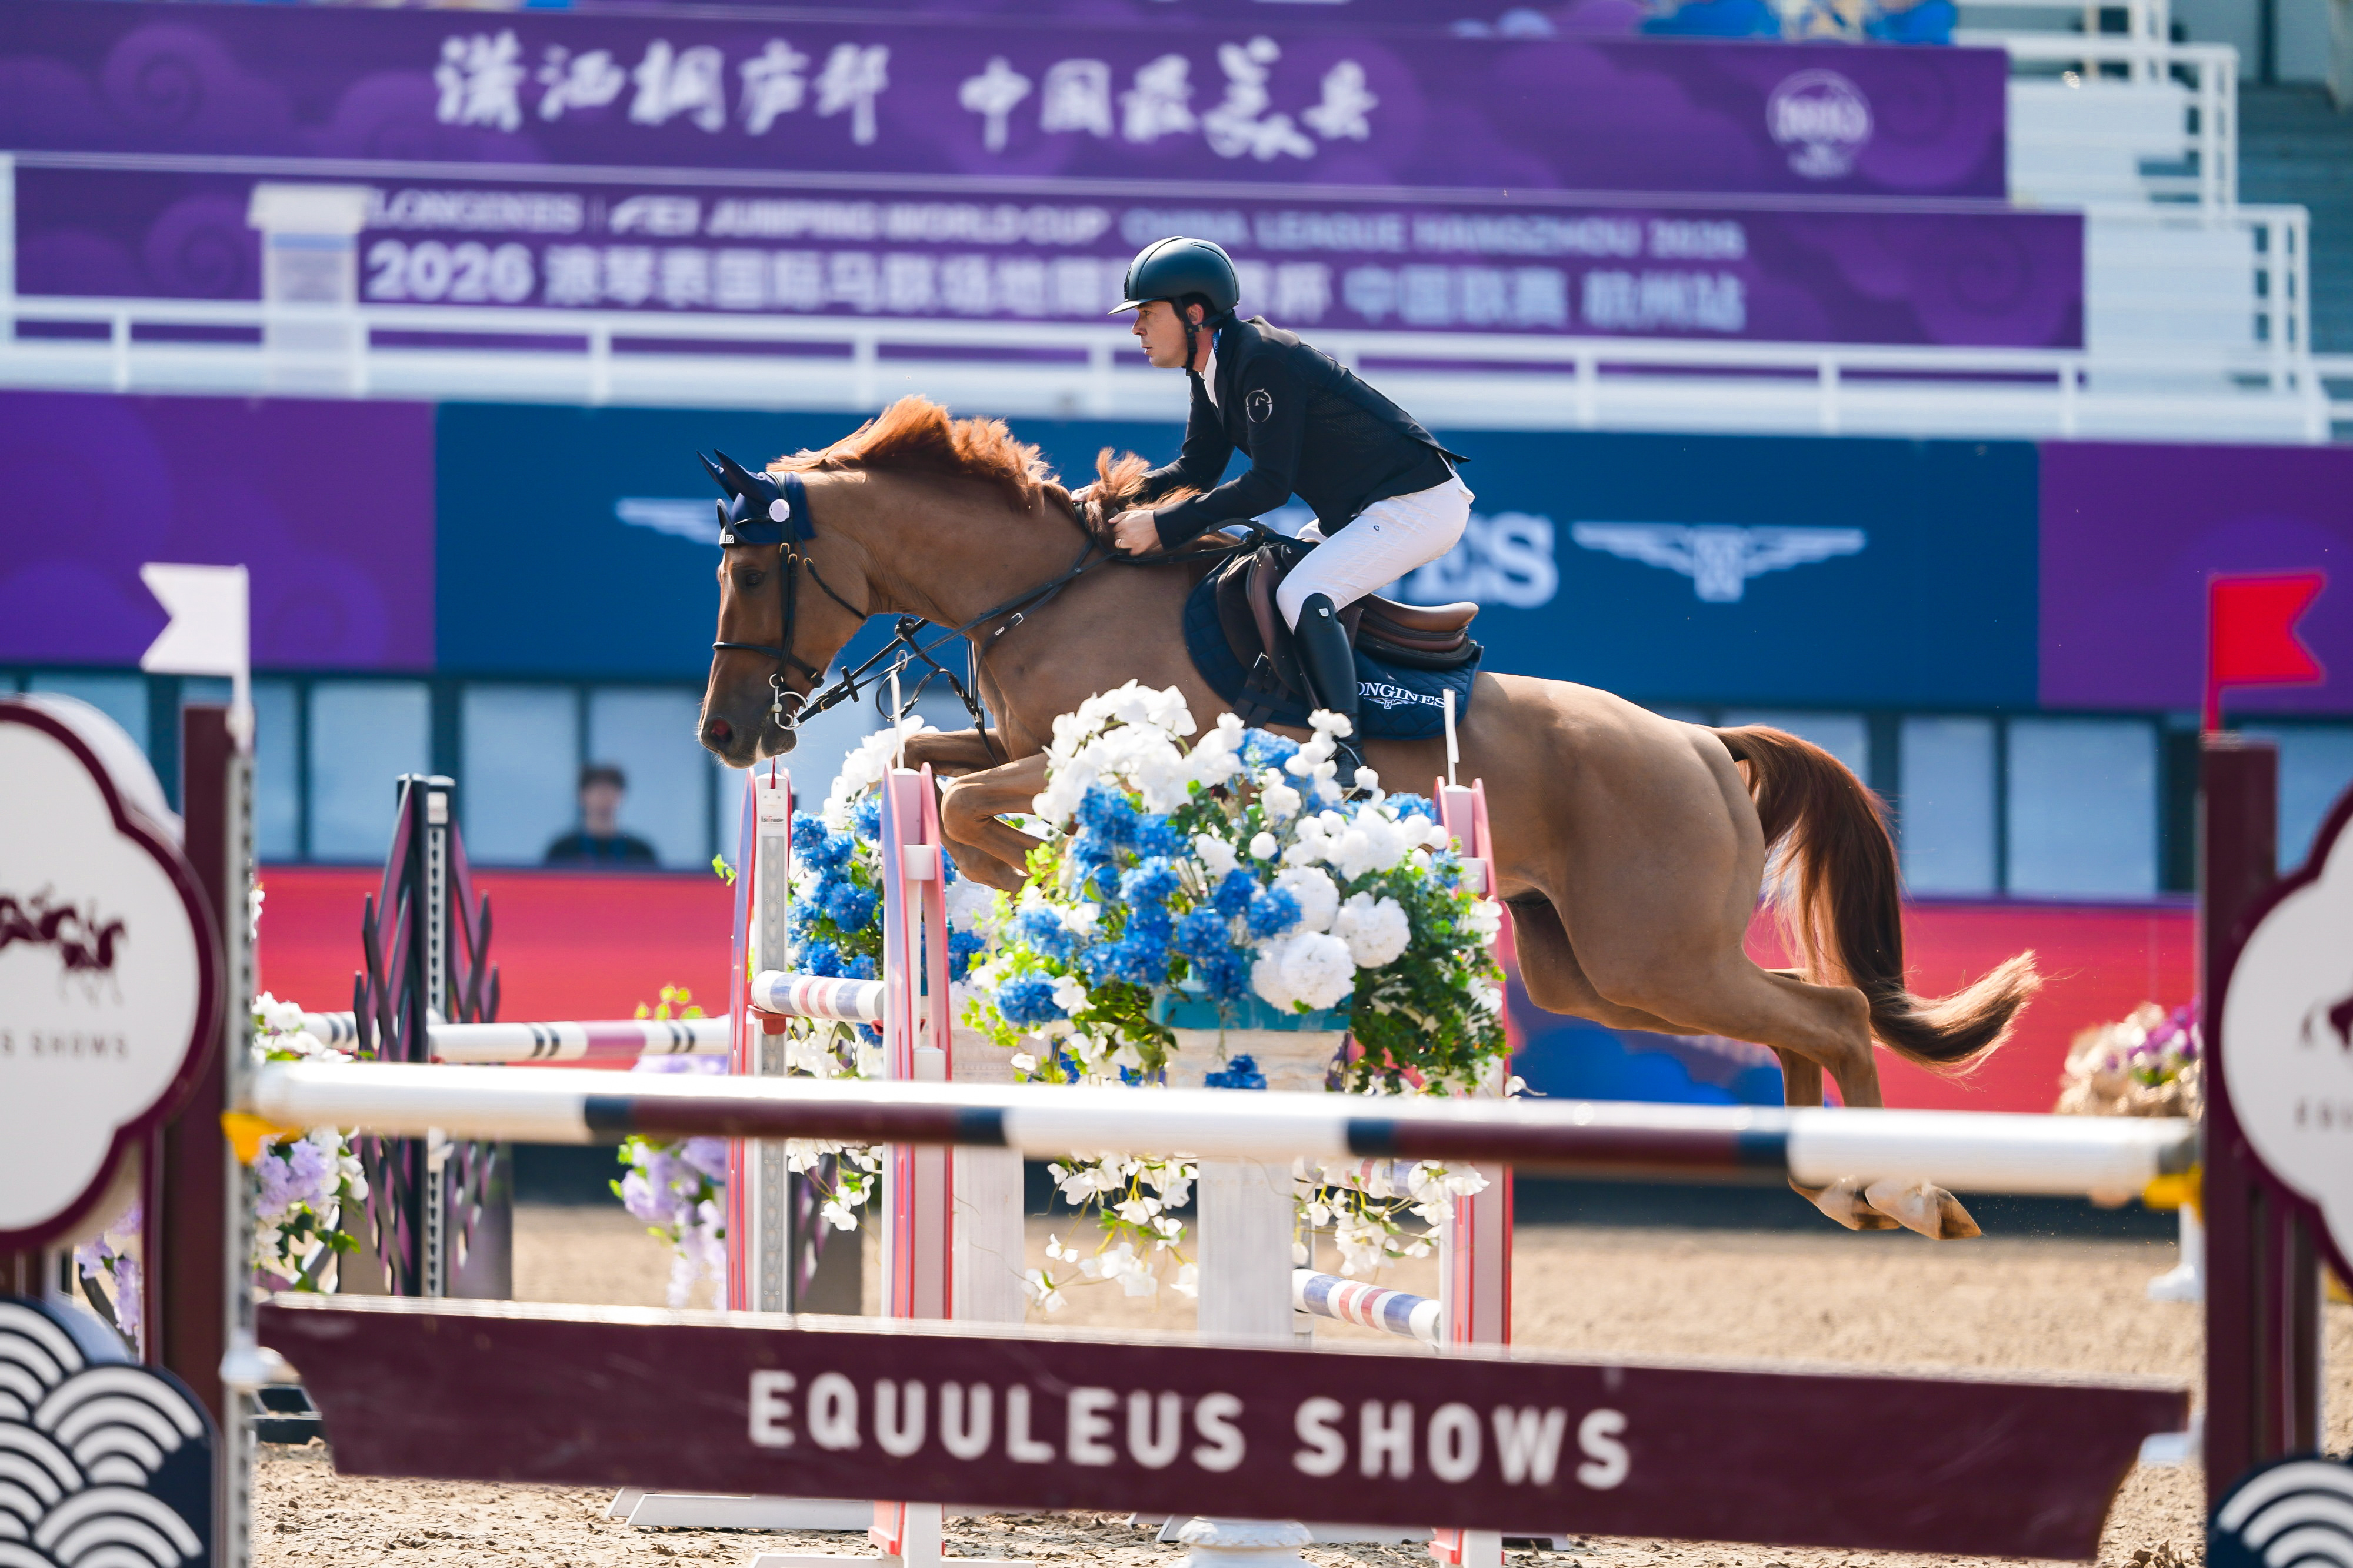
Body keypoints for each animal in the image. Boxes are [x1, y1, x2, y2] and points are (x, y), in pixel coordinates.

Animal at [697, 398, 2040, 1239]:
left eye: (753, 572)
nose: (727, 735)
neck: (1043, 591)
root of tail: (1702, 743)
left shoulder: (1089, 761)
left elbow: (975, 807)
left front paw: (1064, 897)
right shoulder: (1019, 747)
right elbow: (928, 772)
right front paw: (1045, 896)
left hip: (1655, 953)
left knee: (1830, 1015)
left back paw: (1904, 1194)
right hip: (1602, 971)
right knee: (1797, 1017)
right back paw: (1847, 1189)